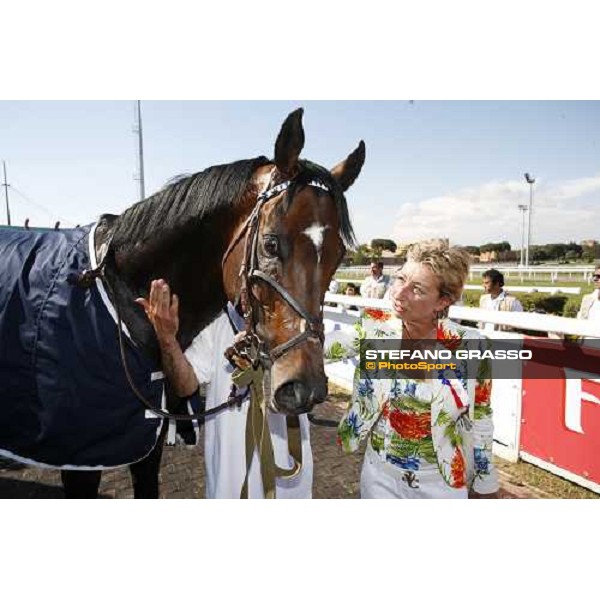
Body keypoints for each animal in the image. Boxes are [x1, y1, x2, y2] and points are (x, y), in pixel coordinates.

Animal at [0, 108, 366, 496]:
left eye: (338, 255)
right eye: (270, 244)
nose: (305, 389)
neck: (119, 293)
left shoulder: (145, 439)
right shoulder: (80, 456)